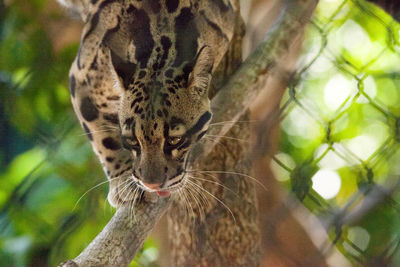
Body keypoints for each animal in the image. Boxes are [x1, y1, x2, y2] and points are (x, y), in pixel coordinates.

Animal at [58, 0, 241, 207]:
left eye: (175, 140)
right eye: (131, 141)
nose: (151, 184)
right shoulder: (80, 77)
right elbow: (102, 137)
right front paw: (122, 181)